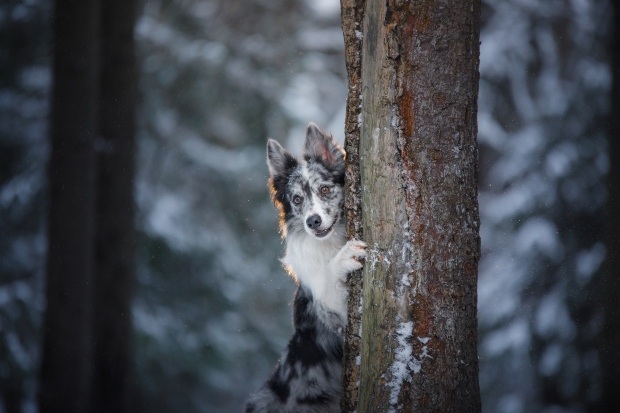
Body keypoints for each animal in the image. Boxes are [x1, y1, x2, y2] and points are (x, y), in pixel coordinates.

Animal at [245, 122, 366, 412]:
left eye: (325, 190)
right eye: (297, 199)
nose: (313, 221)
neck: (331, 242)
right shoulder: (331, 313)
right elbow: (329, 281)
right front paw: (343, 259)